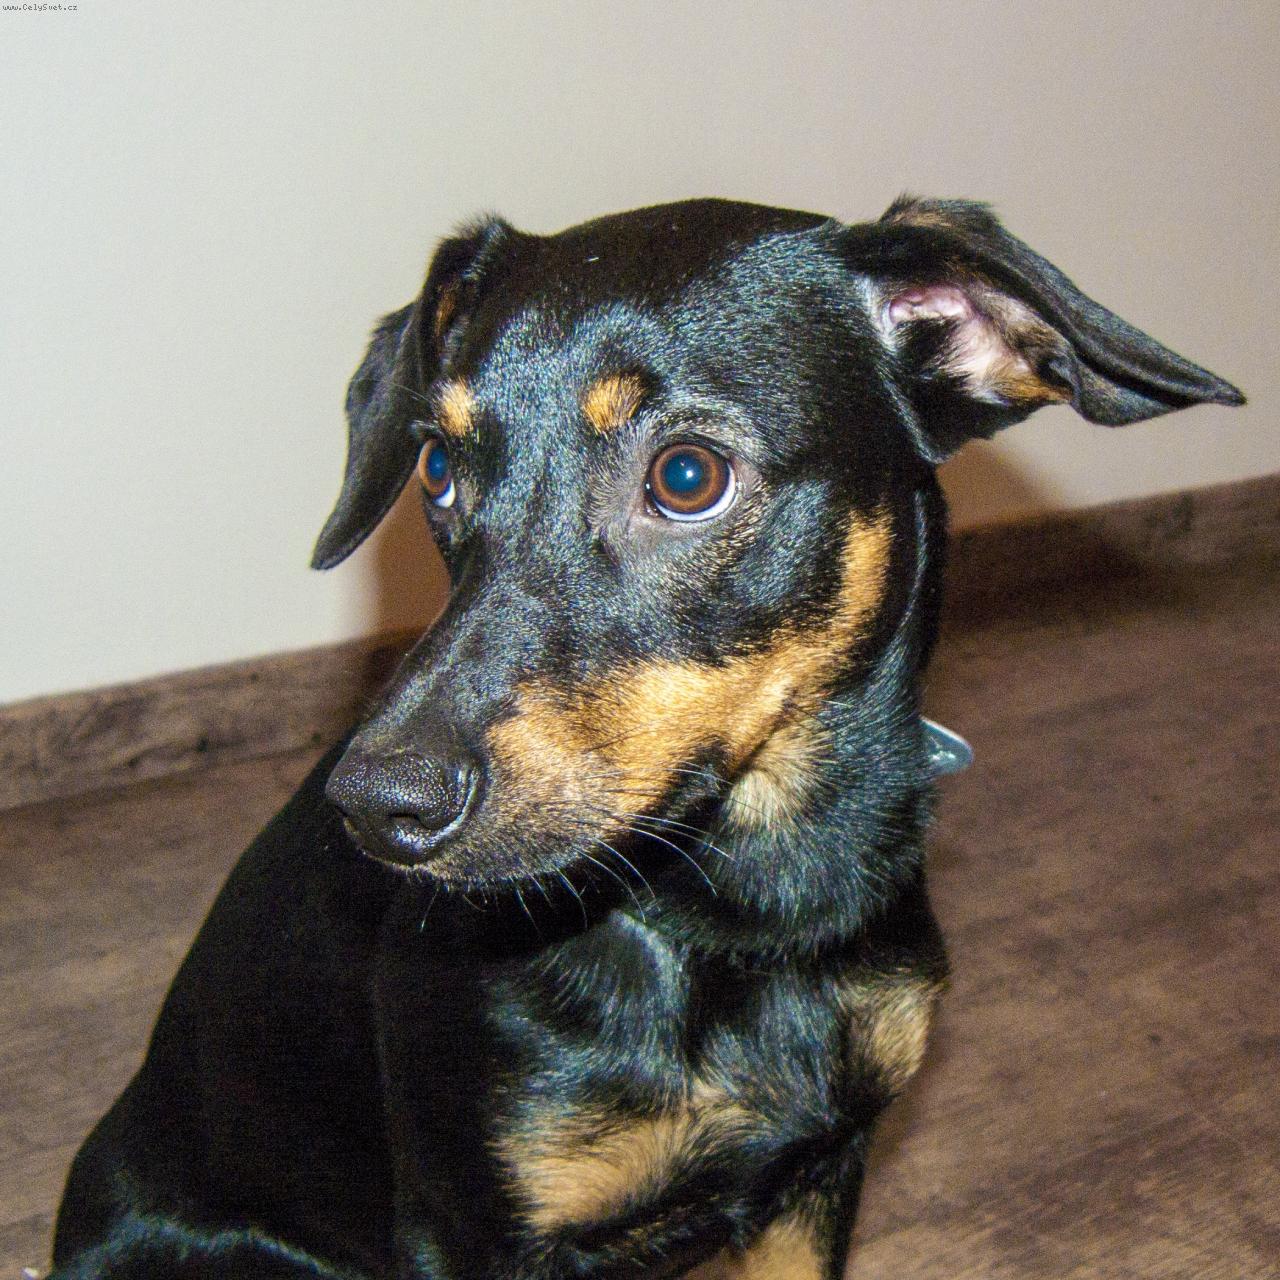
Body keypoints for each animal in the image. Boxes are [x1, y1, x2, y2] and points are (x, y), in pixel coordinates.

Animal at [49, 196, 1243, 1279]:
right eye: (437, 469)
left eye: (685, 475)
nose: (377, 807)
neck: (740, 914)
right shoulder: (473, 1229)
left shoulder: (818, 1178)